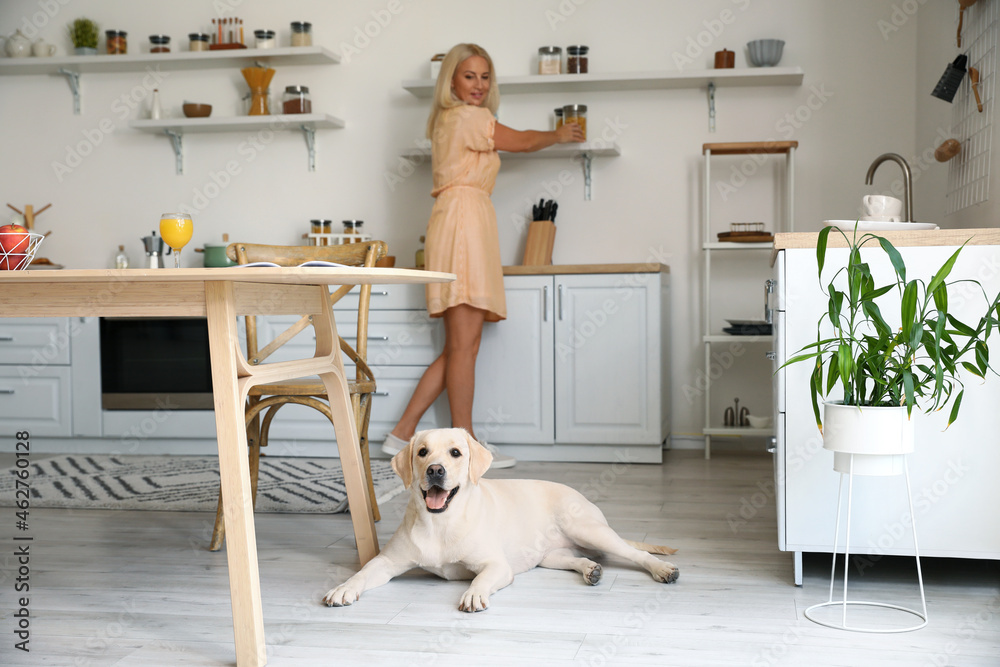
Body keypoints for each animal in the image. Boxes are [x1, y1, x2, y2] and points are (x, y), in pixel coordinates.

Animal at [324, 430, 676, 612]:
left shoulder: (496, 566)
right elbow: (362, 573)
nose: (435, 470)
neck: (441, 523)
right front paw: (343, 588)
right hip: (551, 555)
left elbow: (480, 579)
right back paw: (591, 569)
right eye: (422, 452)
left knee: (636, 554)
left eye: (455, 453)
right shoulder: (386, 562)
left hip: (589, 530)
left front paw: (473, 594)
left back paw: (662, 570)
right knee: (577, 559)